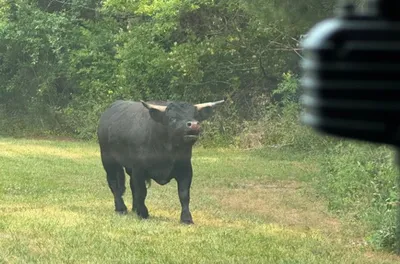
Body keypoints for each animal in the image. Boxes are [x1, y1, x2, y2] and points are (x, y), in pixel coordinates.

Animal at [95, 98, 223, 223]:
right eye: (172, 118)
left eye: (196, 116)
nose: (194, 125)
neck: (166, 150)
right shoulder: (139, 170)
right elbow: (141, 192)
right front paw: (143, 213)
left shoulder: (186, 169)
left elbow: (184, 194)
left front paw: (186, 218)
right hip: (108, 161)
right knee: (114, 184)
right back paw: (121, 208)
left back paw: (134, 208)